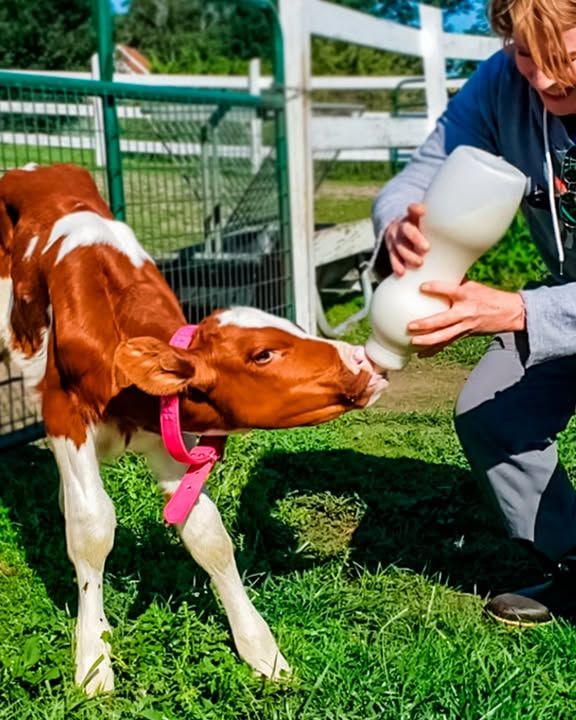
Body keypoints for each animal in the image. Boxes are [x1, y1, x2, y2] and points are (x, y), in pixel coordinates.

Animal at [0, 163, 388, 692]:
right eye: (262, 354)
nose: (365, 361)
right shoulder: (65, 416)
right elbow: (92, 527)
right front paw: (93, 661)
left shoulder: (165, 434)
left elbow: (207, 533)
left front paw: (260, 649)